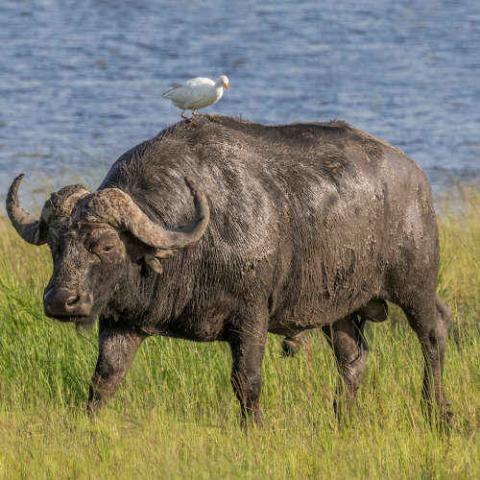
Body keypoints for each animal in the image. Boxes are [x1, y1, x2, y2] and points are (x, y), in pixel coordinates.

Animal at [6, 115, 450, 424]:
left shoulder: (251, 317)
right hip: (338, 309)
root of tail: (416, 177)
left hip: (416, 285)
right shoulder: (121, 321)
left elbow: (246, 380)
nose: (61, 301)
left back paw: (438, 412)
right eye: (56, 245)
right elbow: (104, 379)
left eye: (105, 245)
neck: (193, 250)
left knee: (434, 335)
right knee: (352, 358)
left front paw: (253, 427)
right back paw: (342, 418)